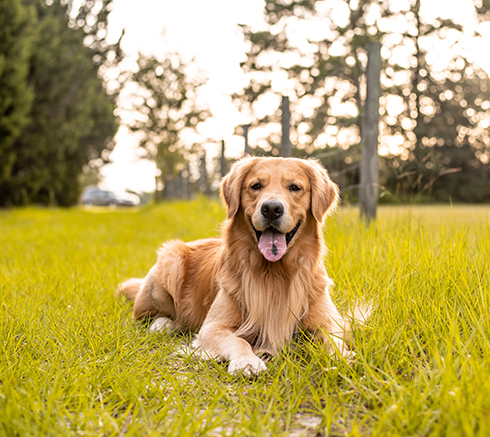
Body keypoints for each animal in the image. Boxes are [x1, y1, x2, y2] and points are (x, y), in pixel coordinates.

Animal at [118, 157, 352, 374]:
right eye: (256, 186)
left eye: (294, 187)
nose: (271, 208)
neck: (274, 273)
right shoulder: (212, 327)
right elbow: (238, 340)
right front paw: (247, 361)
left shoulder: (328, 322)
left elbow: (335, 340)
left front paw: (341, 358)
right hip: (170, 259)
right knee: (148, 316)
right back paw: (163, 325)